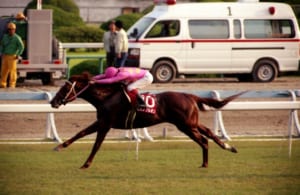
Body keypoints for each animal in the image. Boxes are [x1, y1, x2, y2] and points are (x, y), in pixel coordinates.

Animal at [51, 73, 244, 169]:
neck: (106, 97)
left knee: (203, 140)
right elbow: (80, 133)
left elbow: (95, 145)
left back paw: (206, 162)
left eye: (65, 88)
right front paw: (59, 146)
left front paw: (86, 163)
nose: (53, 102)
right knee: (209, 133)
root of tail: (190, 95)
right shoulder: (102, 122)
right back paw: (227, 149)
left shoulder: (105, 124)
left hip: (186, 125)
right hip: (191, 123)